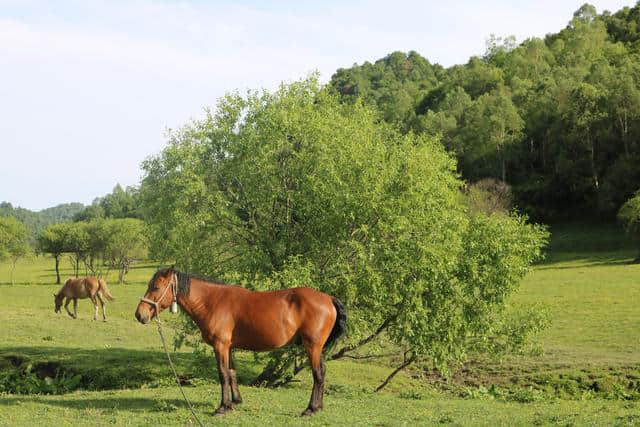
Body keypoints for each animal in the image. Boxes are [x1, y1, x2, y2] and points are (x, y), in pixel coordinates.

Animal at [133, 270, 348, 416]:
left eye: (155, 287)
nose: (139, 314)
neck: (212, 302)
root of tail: (328, 298)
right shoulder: (229, 347)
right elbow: (232, 373)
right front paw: (234, 402)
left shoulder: (220, 346)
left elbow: (223, 374)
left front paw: (222, 407)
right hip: (318, 349)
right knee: (322, 373)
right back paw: (319, 407)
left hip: (312, 346)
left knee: (317, 374)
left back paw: (311, 409)